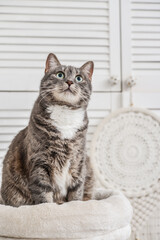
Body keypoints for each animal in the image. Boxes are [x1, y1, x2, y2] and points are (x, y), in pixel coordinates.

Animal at [0, 54, 94, 206]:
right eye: (60, 74)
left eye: (79, 78)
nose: (69, 81)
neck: (65, 112)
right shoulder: (40, 162)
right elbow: (43, 193)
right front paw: (49, 207)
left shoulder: (78, 161)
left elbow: (77, 190)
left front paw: (75, 205)